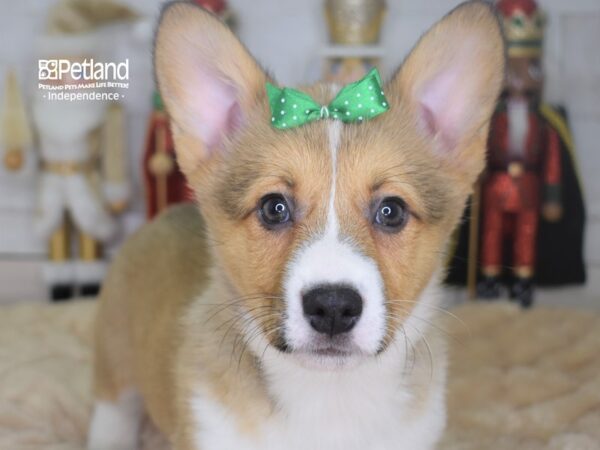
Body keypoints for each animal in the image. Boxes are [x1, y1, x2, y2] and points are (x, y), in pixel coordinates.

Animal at [88, 1, 502, 448]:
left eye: (391, 211)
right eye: (274, 208)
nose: (334, 307)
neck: (329, 401)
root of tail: (165, 214)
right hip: (114, 372)